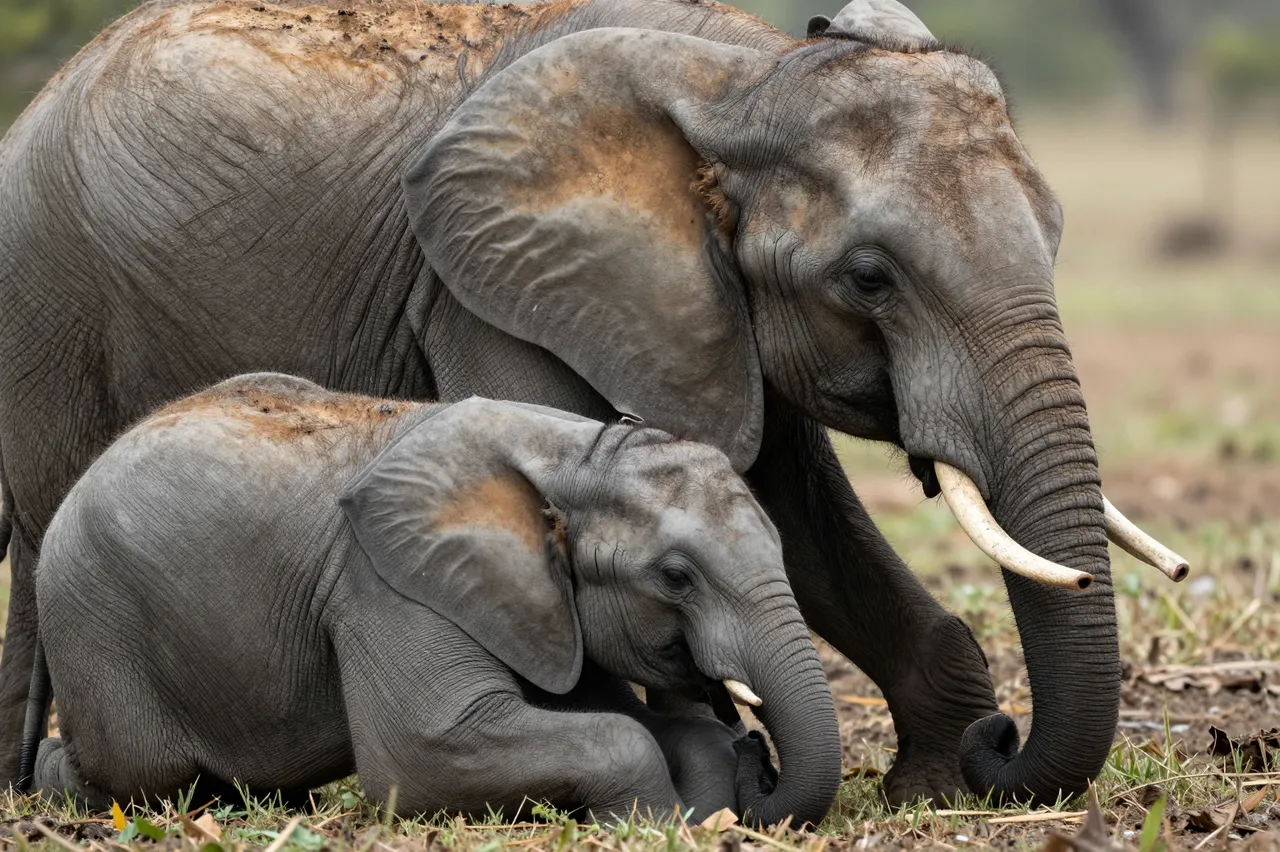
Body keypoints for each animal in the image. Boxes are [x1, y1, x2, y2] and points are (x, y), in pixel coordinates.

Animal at [21, 373, 839, 825]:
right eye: (675, 576)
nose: (758, 756)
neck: (575, 455)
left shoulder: (538, 605)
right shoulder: (385, 586)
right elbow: (426, 752)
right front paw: (656, 821)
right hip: (94, 615)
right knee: (143, 772)